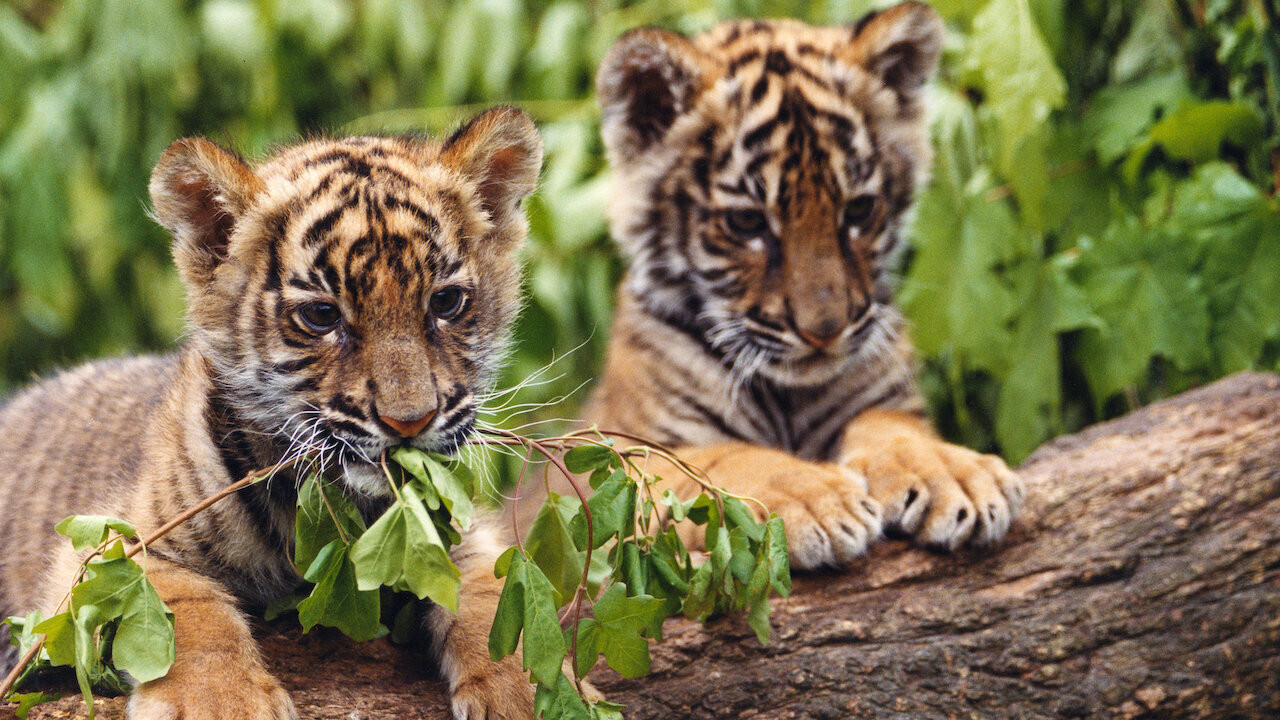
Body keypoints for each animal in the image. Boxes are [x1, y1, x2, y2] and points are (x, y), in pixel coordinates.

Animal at [0, 107, 542, 719]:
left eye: (446, 303)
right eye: (322, 315)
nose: (410, 422)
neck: (334, 508)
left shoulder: (458, 532)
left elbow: (491, 589)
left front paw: (524, 687)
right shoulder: (102, 551)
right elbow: (182, 602)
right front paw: (221, 701)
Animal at [582, 2, 1025, 569]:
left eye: (858, 210)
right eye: (747, 222)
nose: (825, 331)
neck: (787, 395)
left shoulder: (885, 398)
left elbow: (897, 431)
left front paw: (955, 474)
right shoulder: (625, 456)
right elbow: (723, 460)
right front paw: (813, 498)